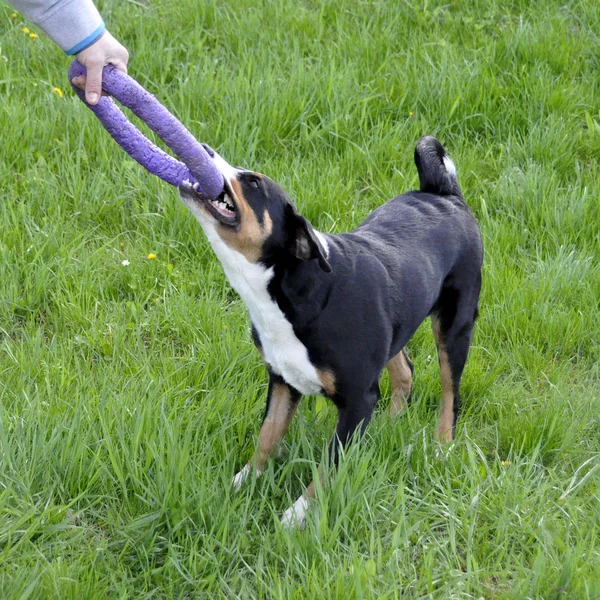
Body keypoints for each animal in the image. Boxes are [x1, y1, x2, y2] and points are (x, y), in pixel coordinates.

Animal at [178, 137, 482, 528]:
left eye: (254, 182)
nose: (203, 147)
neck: (296, 292)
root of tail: (443, 193)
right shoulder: (283, 380)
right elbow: (267, 435)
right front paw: (244, 481)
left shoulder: (357, 400)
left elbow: (328, 465)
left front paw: (297, 515)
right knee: (405, 370)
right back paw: (391, 422)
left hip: (454, 325)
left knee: (449, 392)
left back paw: (442, 446)